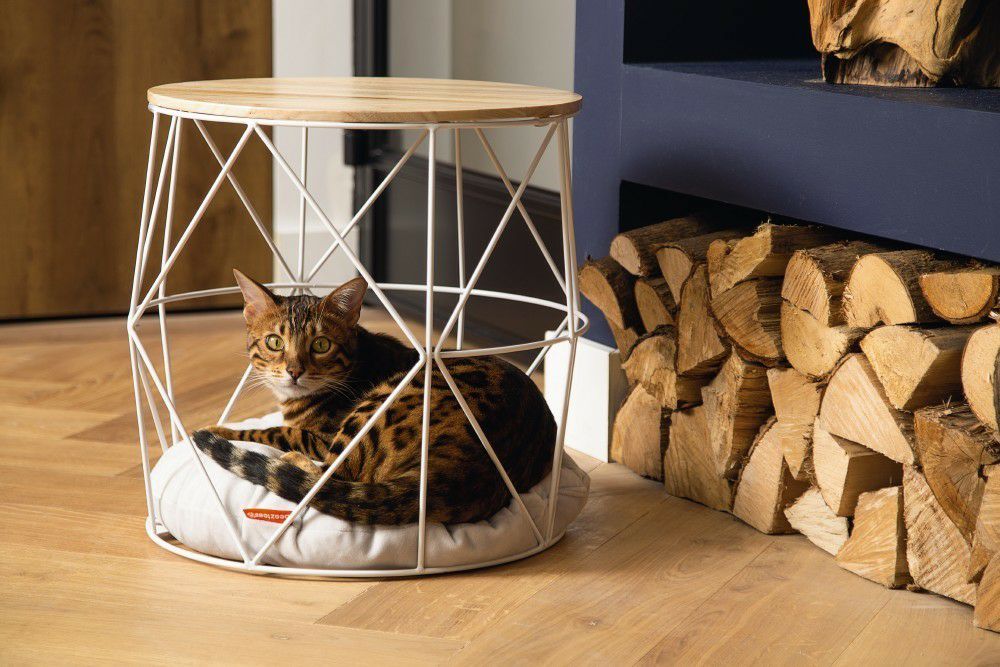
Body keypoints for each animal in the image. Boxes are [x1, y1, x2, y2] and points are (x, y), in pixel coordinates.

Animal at [191, 270, 556, 525]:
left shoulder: (320, 437)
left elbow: (272, 431)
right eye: (274, 342)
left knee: (329, 475)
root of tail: (459, 474)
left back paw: (287, 461)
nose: (294, 371)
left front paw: (217, 430)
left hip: (378, 407)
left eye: (321, 344)